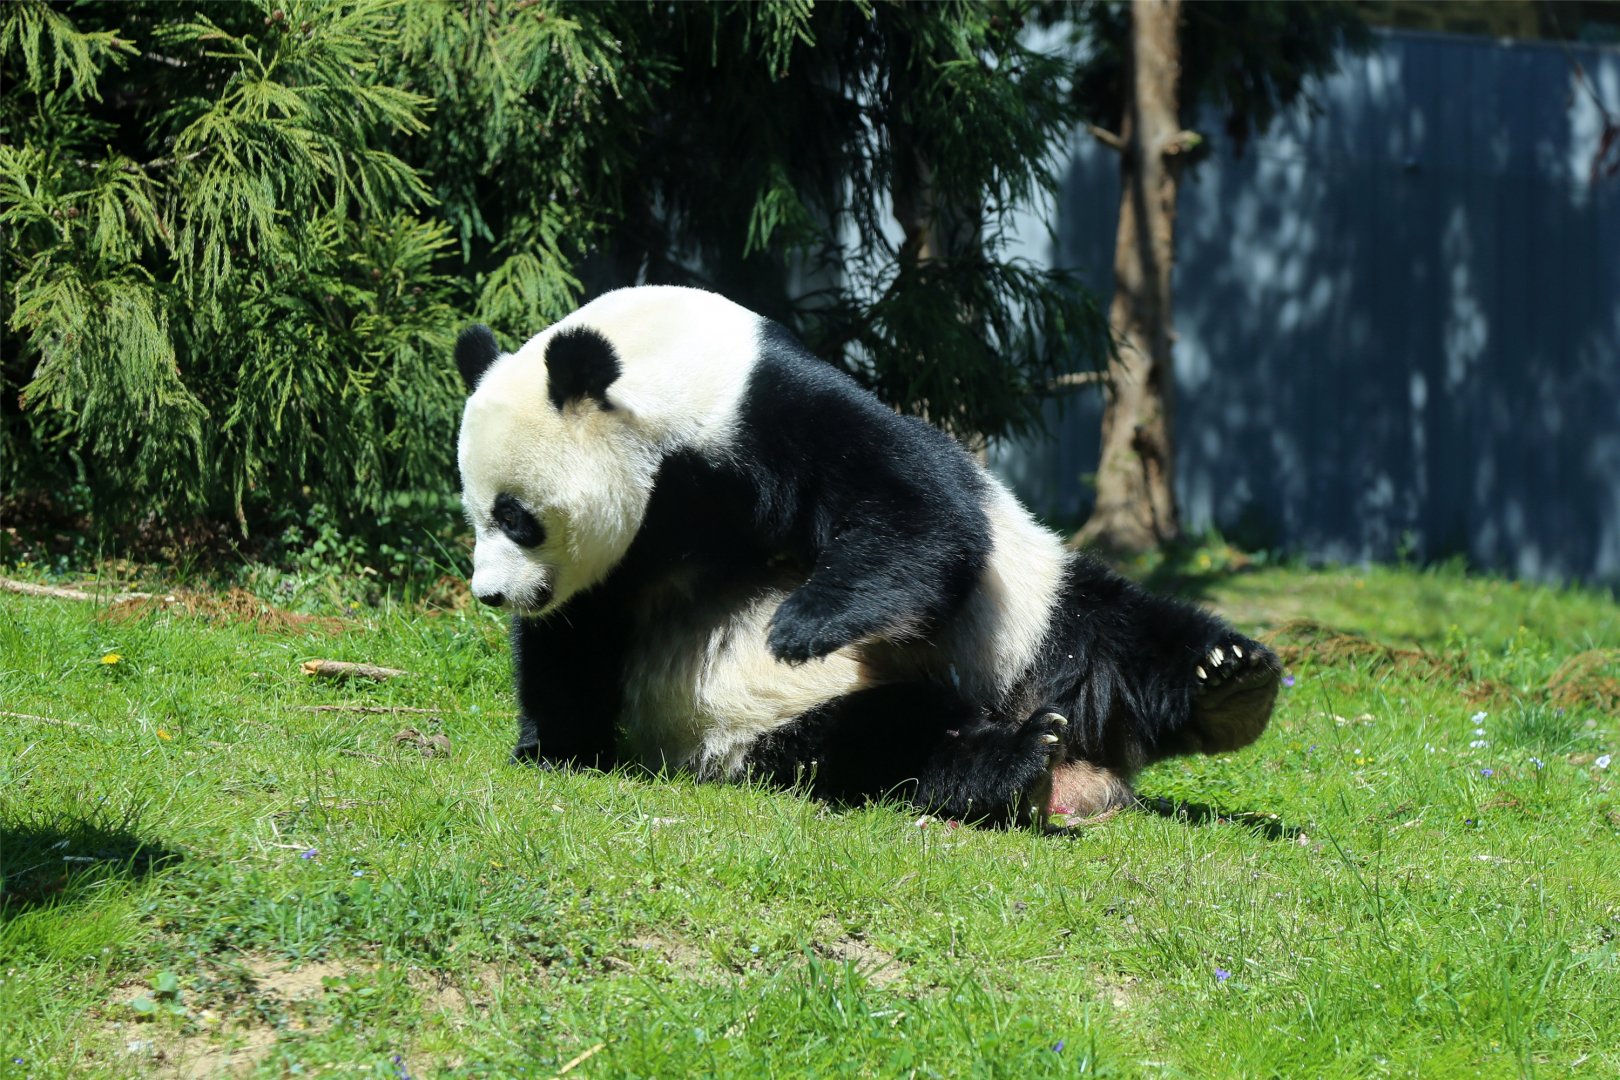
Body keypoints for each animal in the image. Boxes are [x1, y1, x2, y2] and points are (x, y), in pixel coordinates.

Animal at [456, 285, 1280, 824]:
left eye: (516, 518)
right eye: (475, 513)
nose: (491, 594)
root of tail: (1090, 769)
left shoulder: (756, 408)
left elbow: (918, 505)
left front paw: (802, 625)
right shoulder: (627, 548)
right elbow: (574, 638)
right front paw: (555, 746)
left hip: (1032, 609)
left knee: (1113, 634)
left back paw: (1228, 684)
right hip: (763, 729)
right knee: (879, 743)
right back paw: (1010, 765)